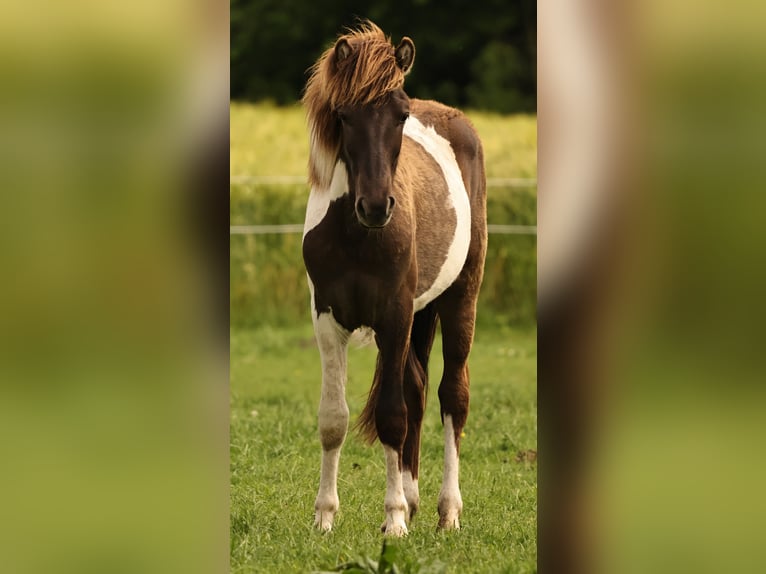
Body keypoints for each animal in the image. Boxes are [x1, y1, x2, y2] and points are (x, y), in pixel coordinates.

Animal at [301, 21, 487, 536]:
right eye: (343, 115)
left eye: (401, 116)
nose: (376, 206)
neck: (357, 237)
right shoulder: (327, 318)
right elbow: (334, 419)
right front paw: (325, 517)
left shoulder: (394, 315)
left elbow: (391, 415)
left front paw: (394, 520)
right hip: (421, 313)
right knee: (418, 390)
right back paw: (413, 496)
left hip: (460, 299)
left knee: (452, 397)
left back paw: (447, 510)